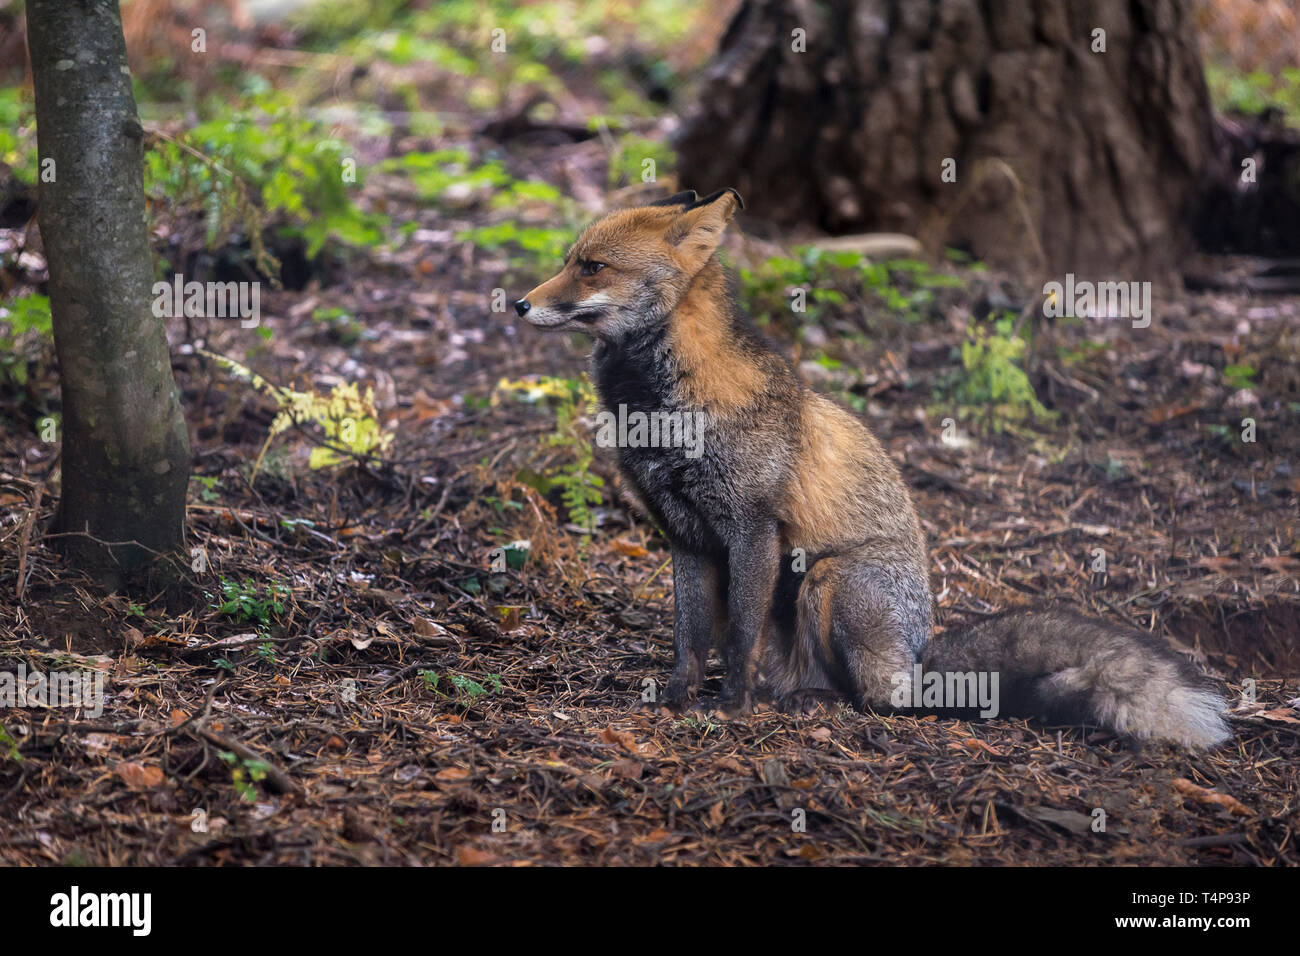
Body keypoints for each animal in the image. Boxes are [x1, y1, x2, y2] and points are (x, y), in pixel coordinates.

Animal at [515, 188, 1230, 749]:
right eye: (568, 261)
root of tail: (917, 659)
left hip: (828, 580)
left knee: (876, 700)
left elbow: (738, 636)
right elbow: (690, 639)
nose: (518, 305)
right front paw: (677, 700)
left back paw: (815, 702)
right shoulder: (687, 537)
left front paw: (732, 708)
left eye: (591, 267)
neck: (661, 411)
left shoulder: (752, 530)